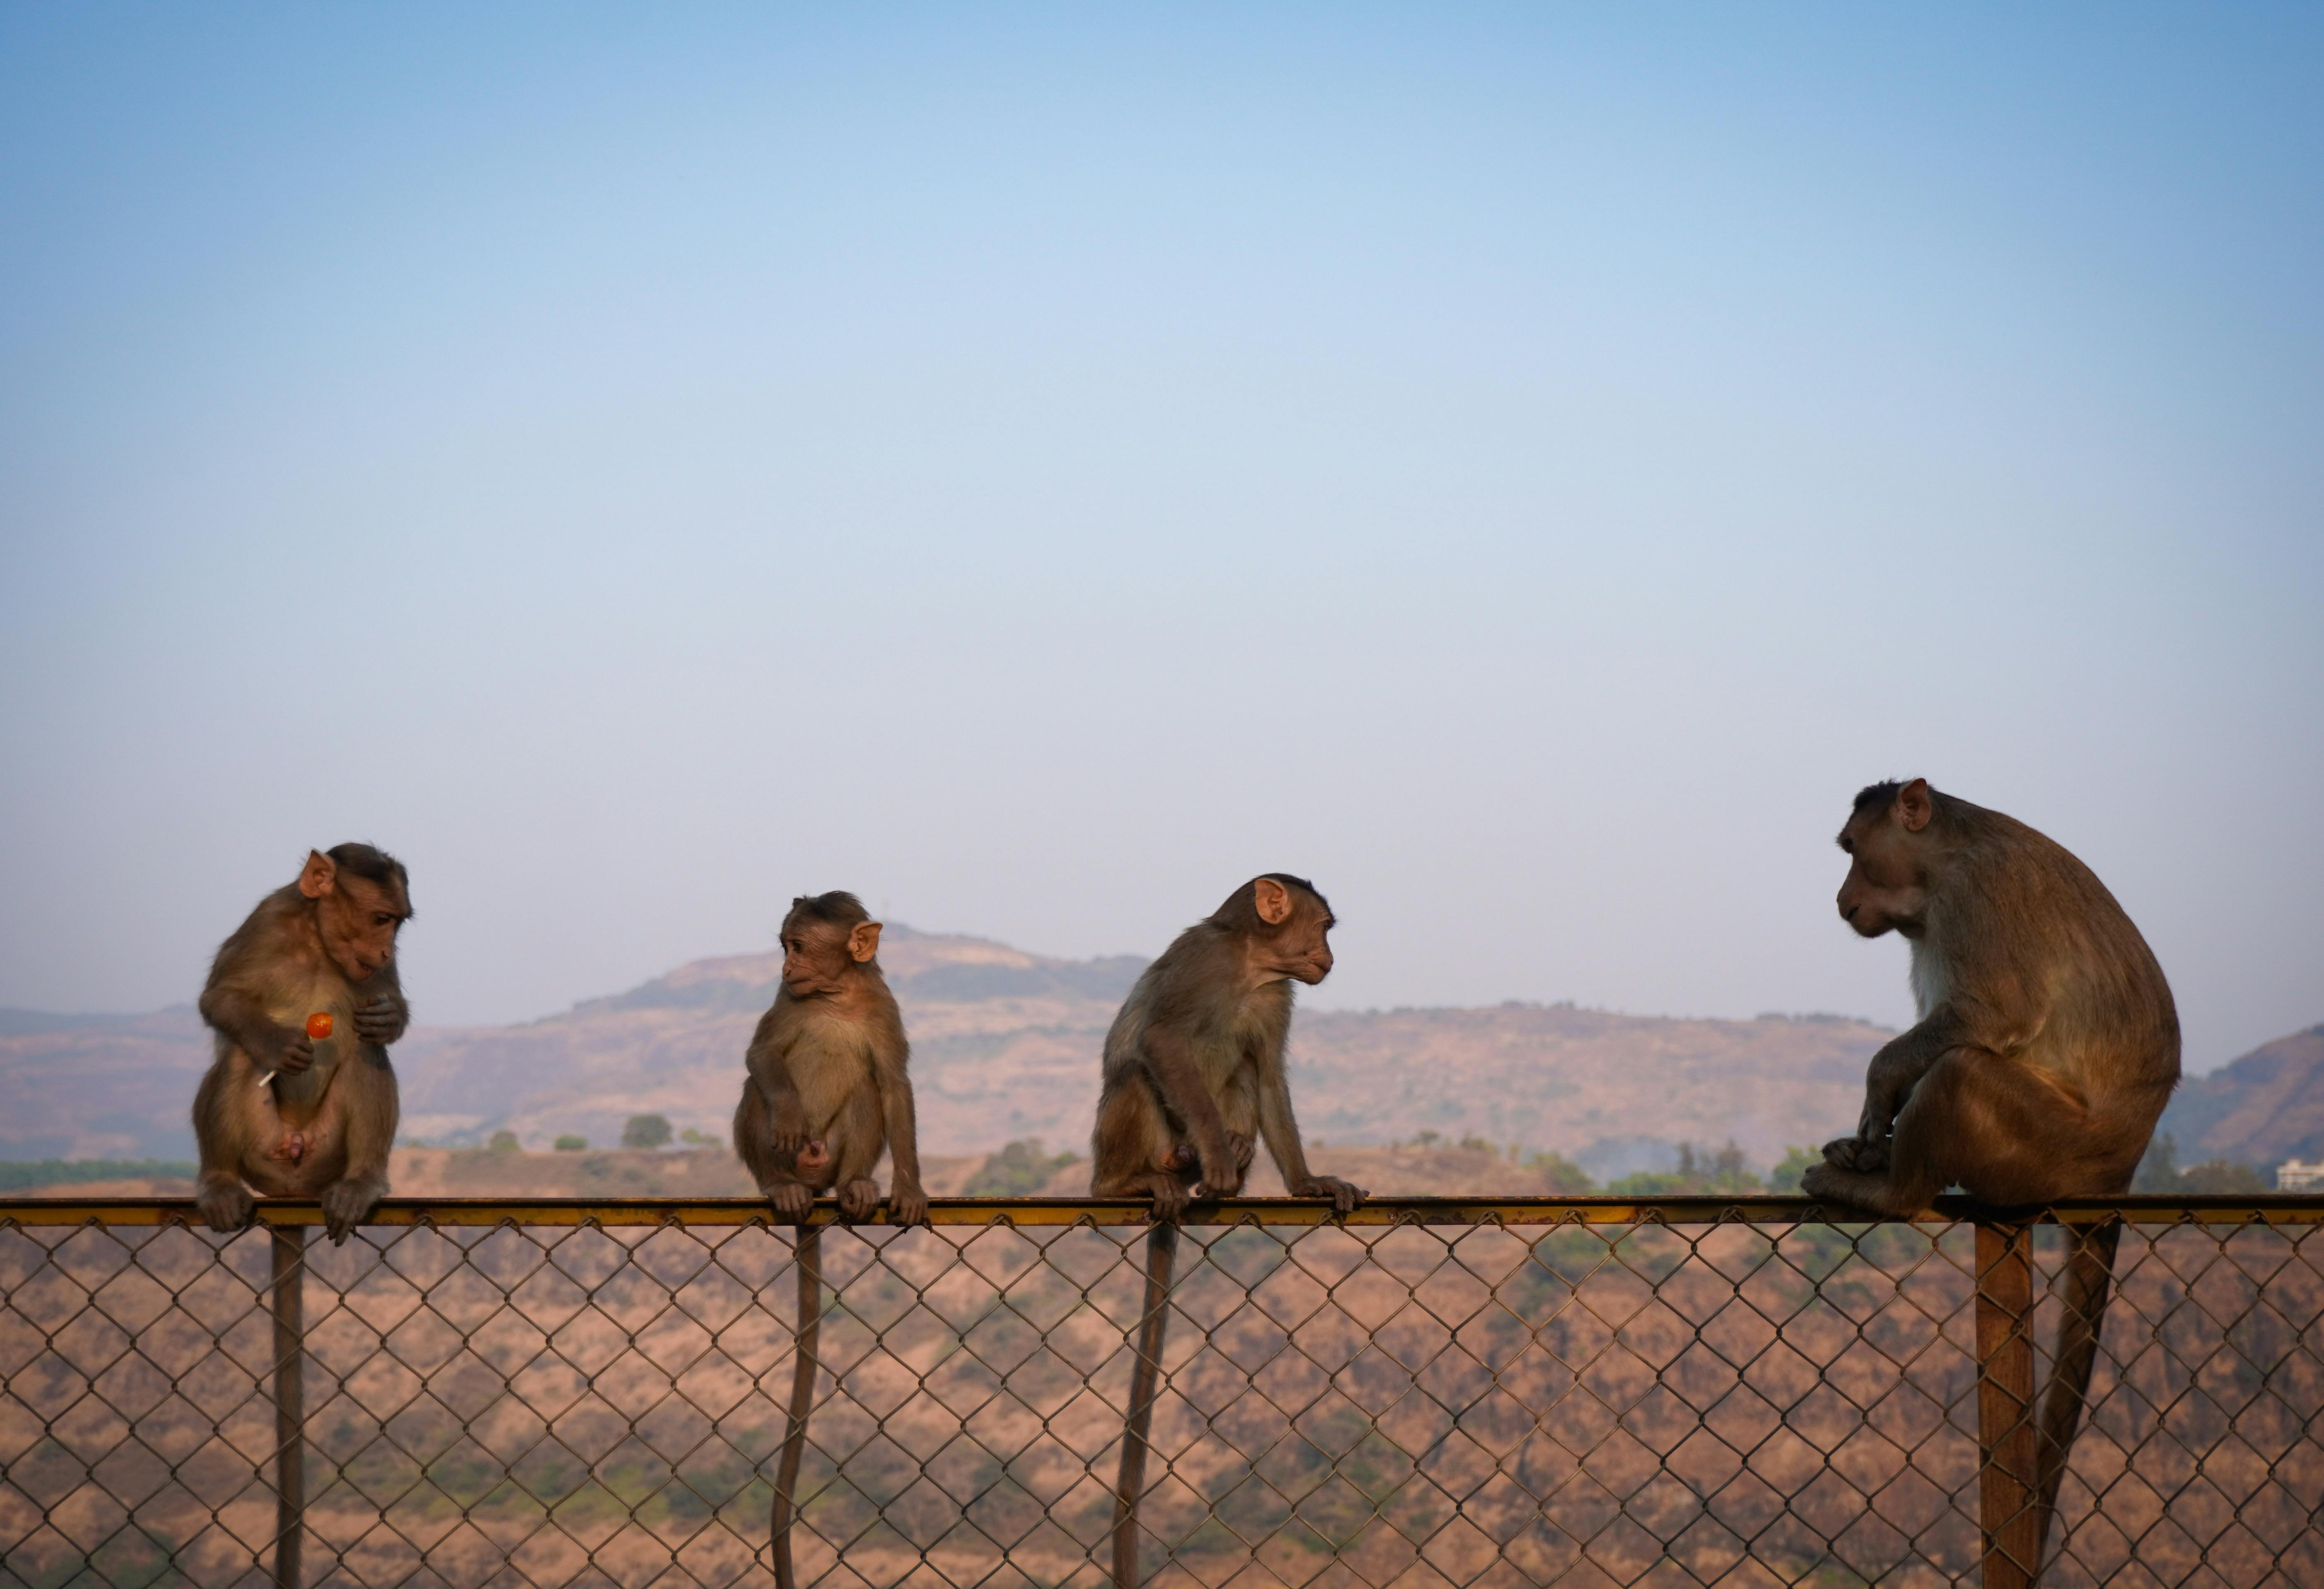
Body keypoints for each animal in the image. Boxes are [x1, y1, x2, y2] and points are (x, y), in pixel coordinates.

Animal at [193, 845, 411, 1245]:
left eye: (397, 924)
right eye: (381, 918)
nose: (387, 951)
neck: (318, 945)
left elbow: (386, 1007)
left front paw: (387, 1017)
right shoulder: (267, 922)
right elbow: (219, 997)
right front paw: (278, 1044)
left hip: (328, 1152)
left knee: (366, 1049)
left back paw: (362, 1180)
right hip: (262, 1148)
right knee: (240, 1052)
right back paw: (220, 1182)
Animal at [739, 887, 930, 1589]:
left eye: (799, 944)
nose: (787, 964)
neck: (835, 995)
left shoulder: (883, 1007)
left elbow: (895, 1086)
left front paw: (909, 1186)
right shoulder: (786, 1000)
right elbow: (762, 1058)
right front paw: (791, 1110)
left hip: (838, 1152)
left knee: (869, 1091)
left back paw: (856, 1185)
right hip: (784, 1158)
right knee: (757, 1093)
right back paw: (782, 1186)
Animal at [1087, 873, 1357, 1589]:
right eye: (1323, 925)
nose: (1330, 955)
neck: (1251, 964)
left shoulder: (1275, 996)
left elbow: (1266, 1076)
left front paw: (1307, 1180)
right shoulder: (1199, 962)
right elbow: (1162, 1040)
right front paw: (1213, 1155)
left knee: (1238, 1075)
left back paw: (1225, 1160)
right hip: (1133, 1142)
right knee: (1138, 1073)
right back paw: (1143, 1178)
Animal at [1813, 776, 2175, 1570]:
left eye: (1852, 847)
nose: (1839, 898)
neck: (1941, 861)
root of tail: (2118, 1171)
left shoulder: (1973, 897)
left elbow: (1990, 1013)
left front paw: (1878, 1091)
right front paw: (1867, 1136)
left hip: (2042, 1151)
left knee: (1960, 1072)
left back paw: (1887, 1188)